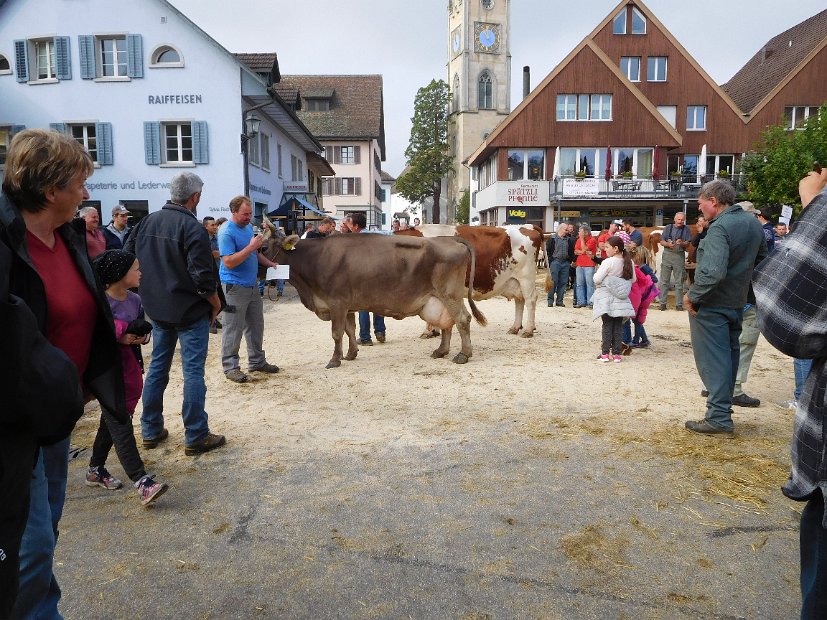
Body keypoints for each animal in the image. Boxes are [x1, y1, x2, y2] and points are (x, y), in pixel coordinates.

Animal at [264, 230, 486, 370]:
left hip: (450, 294)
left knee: (462, 319)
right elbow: (350, 329)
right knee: (447, 323)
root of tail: (450, 239)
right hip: (439, 299)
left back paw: (463, 354)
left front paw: (335, 360)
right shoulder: (347, 306)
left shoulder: (337, 303)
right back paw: (441, 351)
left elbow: (336, 333)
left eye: (264, 247)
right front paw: (351, 354)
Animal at [396, 223, 544, 336]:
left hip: (526, 277)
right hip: (515, 281)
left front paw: (428, 331)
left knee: (530, 300)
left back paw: (528, 330)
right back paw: (515, 328)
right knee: (520, 300)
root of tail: (527, 226)